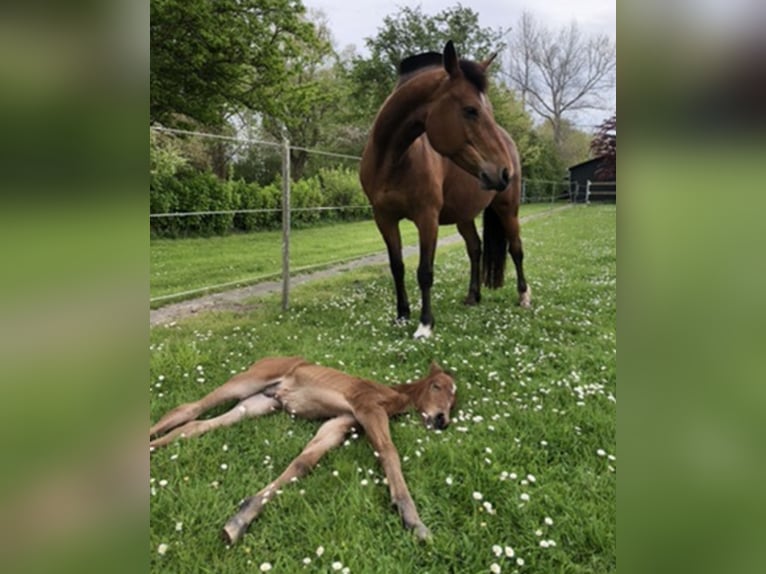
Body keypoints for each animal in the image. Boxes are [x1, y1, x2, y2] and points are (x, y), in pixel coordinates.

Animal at [153, 358, 460, 548]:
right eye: (437, 386)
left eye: (454, 397)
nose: (442, 420)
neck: (392, 394)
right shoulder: (367, 407)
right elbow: (388, 450)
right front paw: (414, 521)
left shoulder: (340, 423)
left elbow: (303, 462)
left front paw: (239, 520)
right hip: (247, 382)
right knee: (187, 409)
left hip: (257, 404)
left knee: (194, 426)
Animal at [362, 42, 532, 340]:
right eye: (471, 110)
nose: (504, 172)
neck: (392, 160)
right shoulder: (384, 218)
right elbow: (397, 267)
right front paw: (402, 315)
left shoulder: (427, 218)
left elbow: (425, 271)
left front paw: (425, 324)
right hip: (464, 216)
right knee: (475, 249)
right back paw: (473, 296)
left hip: (507, 209)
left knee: (516, 249)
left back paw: (523, 296)